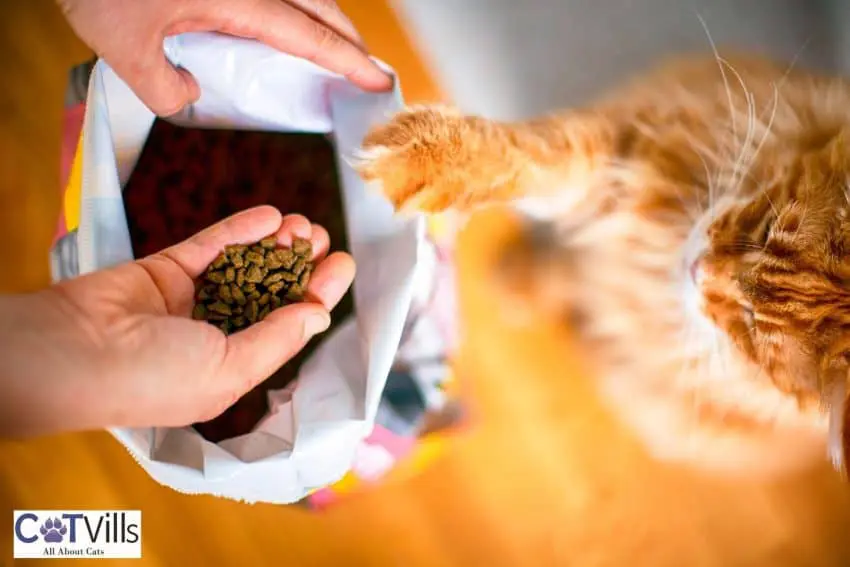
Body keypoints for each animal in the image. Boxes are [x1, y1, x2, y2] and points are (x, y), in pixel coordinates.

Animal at [354, 52, 848, 480]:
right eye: (764, 230)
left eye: (750, 326)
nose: (699, 270)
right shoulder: (623, 150)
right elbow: (525, 155)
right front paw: (426, 158)